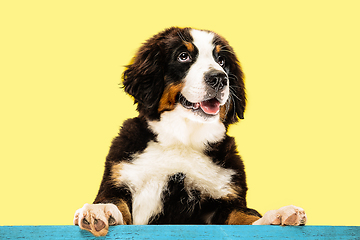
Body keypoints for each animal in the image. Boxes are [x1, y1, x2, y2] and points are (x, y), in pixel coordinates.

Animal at [73, 26, 306, 236]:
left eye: (222, 61)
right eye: (183, 56)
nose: (219, 78)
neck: (183, 140)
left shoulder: (222, 201)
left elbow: (244, 215)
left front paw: (277, 216)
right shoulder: (119, 178)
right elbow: (115, 201)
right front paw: (100, 211)